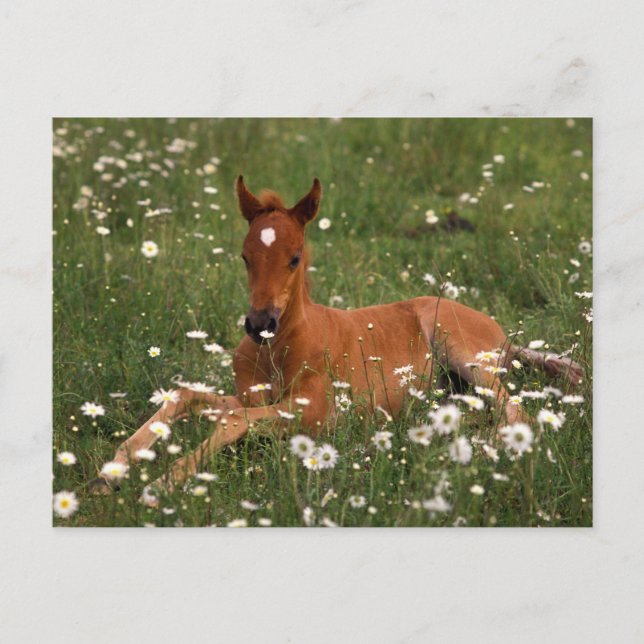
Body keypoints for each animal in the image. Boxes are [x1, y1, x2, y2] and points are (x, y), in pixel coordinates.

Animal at [94, 176, 582, 498]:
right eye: (245, 256)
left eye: (294, 257)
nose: (259, 324)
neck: (279, 348)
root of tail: (502, 334)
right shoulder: (254, 398)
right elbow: (188, 396)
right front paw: (114, 468)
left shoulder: (316, 414)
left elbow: (230, 420)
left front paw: (162, 483)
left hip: (459, 346)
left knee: (516, 411)